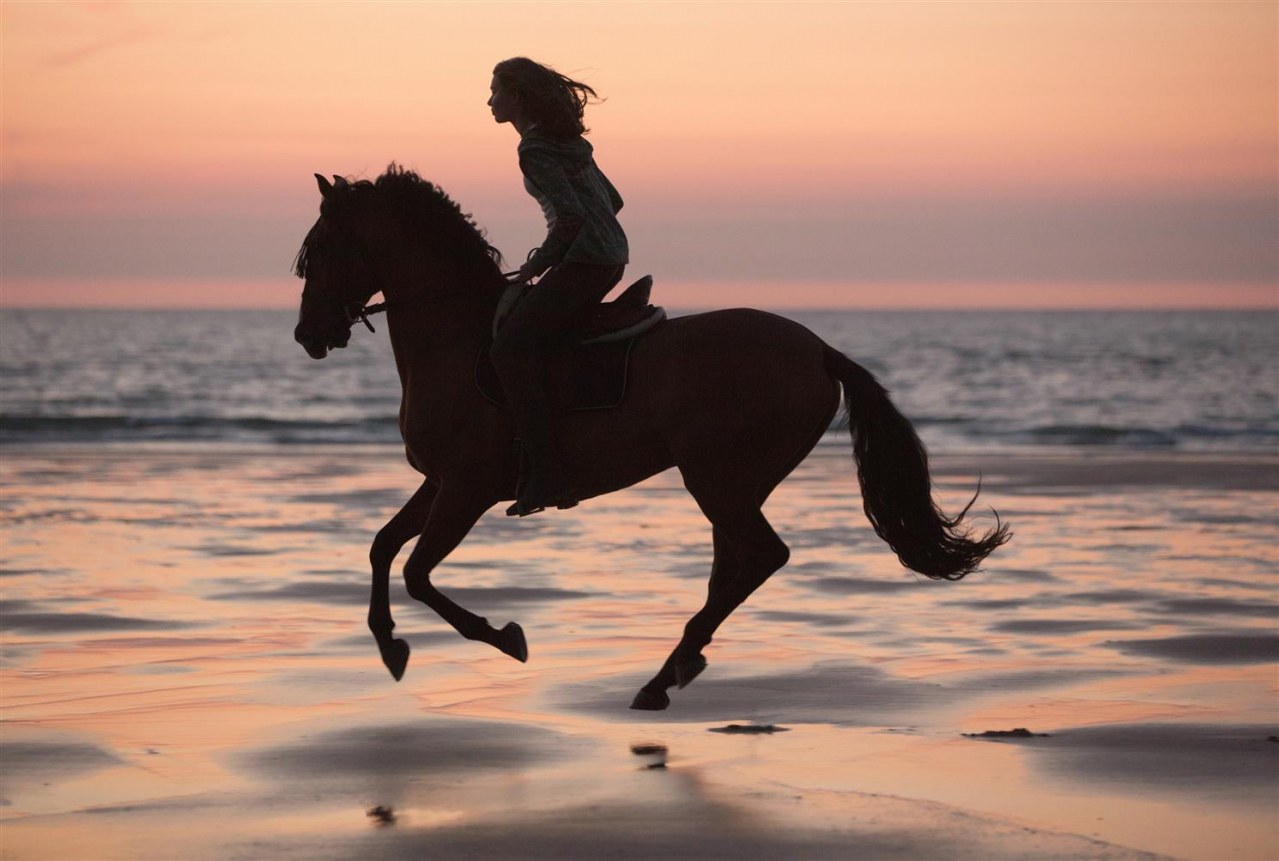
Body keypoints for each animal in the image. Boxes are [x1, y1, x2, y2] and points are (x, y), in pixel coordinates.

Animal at [290, 165, 1007, 706]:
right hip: (735, 482)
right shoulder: (440, 483)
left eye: (319, 249)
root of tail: (818, 350)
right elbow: (382, 548)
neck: (455, 338)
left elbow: (416, 572)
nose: (307, 334)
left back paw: (663, 675)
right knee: (735, 565)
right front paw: (388, 643)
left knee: (759, 556)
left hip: (714, 476)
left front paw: (503, 637)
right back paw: (675, 668)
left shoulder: (466, 489)